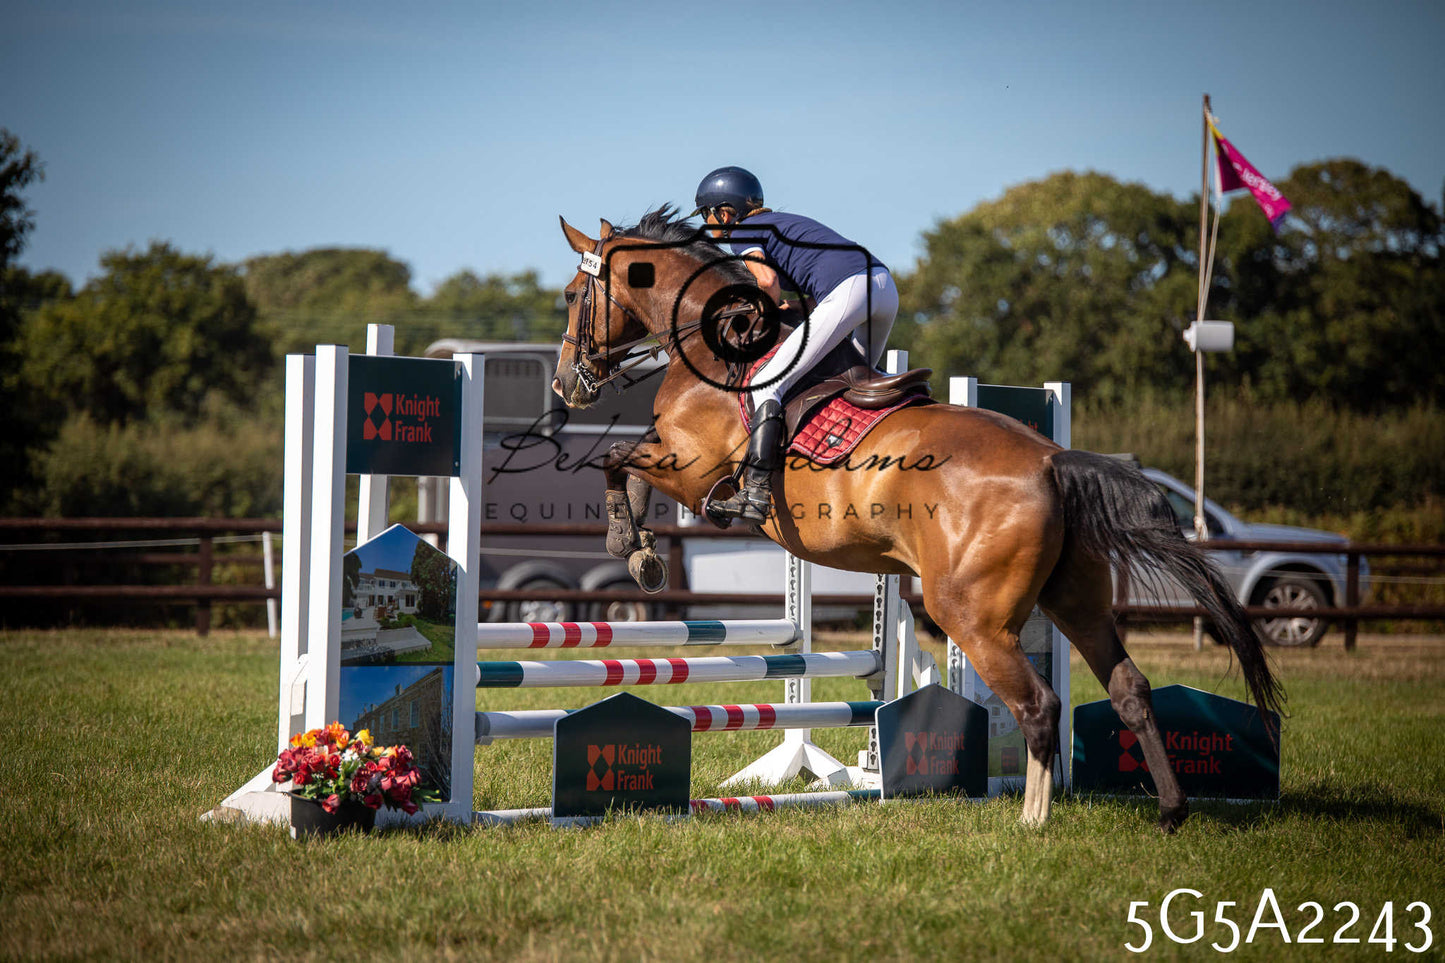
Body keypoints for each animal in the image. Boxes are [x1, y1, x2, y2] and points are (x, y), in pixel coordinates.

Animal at [551, 206, 1283, 833]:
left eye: (570, 294)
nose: (565, 384)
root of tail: (1051, 461)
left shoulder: (691, 466)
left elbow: (615, 460)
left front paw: (627, 541)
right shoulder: (675, 458)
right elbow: (627, 469)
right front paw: (644, 552)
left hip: (970, 613)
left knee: (1038, 704)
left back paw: (1032, 819)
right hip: (1074, 597)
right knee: (1129, 687)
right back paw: (1169, 810)